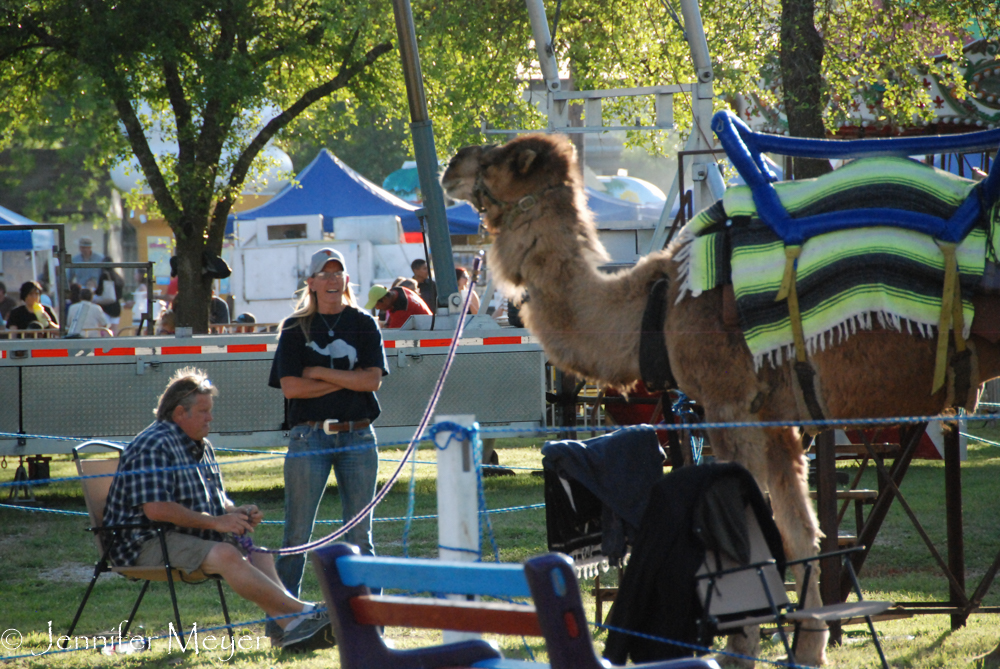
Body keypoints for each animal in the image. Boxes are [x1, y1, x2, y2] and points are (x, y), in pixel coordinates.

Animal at [442, 133, 1000, 664]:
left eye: (505, 159)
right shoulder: (776, 419)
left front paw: (741, 650)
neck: (658, 305)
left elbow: (747, 536)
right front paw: (808, 649)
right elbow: (800, 534)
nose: (453, 163)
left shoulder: (728, 404)